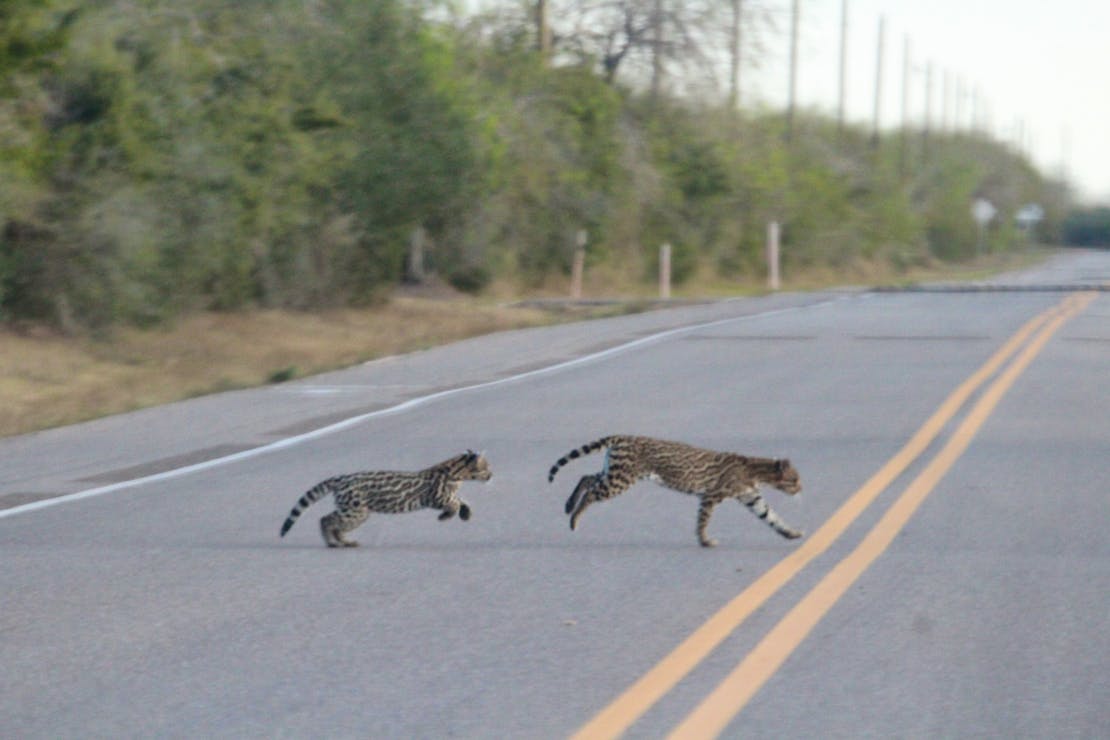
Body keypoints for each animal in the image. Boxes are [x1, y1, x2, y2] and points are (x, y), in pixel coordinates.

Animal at [281, 448, 495, 548]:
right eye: (486, 467)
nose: (492, 475)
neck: (457, 474)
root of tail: (341, 477)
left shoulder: (445, 496)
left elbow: (462, 500)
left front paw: (466, 513)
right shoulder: (436, 497)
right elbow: (455, 502)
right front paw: (446, 516)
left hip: (355, 511)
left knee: (334, 523)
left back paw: (344, 542)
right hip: (356, 511)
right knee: (326, 519)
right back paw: (333, 543)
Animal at [548, 434, 803, 550]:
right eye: (795, 480)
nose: (802, 488)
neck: (756, 471)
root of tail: (623, 437)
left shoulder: (751, 498)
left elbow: (771, 517)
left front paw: (791, 533)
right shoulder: (710, 496)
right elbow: (703, 521)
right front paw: (704, 540)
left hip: (612, 473)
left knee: (587, 478)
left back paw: (569, 506)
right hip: (619, 481)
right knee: (591, 491)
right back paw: (574, 518)